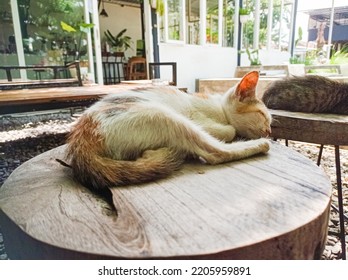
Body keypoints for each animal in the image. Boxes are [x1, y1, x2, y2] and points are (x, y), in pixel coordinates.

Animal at [66, 70, 272, 192]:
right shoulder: (195, 114)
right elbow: (229, 130)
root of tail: (81, 139)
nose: (269, 131)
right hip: (163, 115)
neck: (218, 107)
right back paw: (261, 145)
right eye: (263, 115)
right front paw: (228, 130)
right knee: (215, 153)